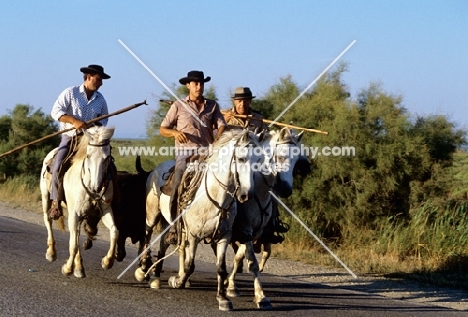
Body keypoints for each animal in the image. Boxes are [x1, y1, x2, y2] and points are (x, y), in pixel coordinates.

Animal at [39, 126, 118, 276]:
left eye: (107, 158)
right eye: (88, 156)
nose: (96, 187)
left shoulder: (105, 210)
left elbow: (115, 231)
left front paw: (107, 261)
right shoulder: (74, 213)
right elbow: (73, 245)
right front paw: (67, 268)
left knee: (76, 233)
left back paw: (79, 266)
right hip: (46, 196)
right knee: (48, 220)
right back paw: (51, 253)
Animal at [139, 129, 262, 312]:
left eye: (258, 160)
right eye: (241, 158)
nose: (247, 195)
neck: (216, 198)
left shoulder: (224, 237)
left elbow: (221, 268)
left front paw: (223, 298)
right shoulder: (193, 235)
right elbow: (190, 265)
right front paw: (178, 281)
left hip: (170, 224)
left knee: (164, 242)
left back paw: (155, 274)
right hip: (152, 215)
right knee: (147, 236)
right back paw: (142, 268)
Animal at [226, 126, 304, 304]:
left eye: (297, 161)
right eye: (280, 156)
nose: (286, 189)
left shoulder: (255, 232)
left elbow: (240, 256)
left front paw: (230, 284)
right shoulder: (245, 229)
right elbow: (249, 259)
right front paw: (259, 295)